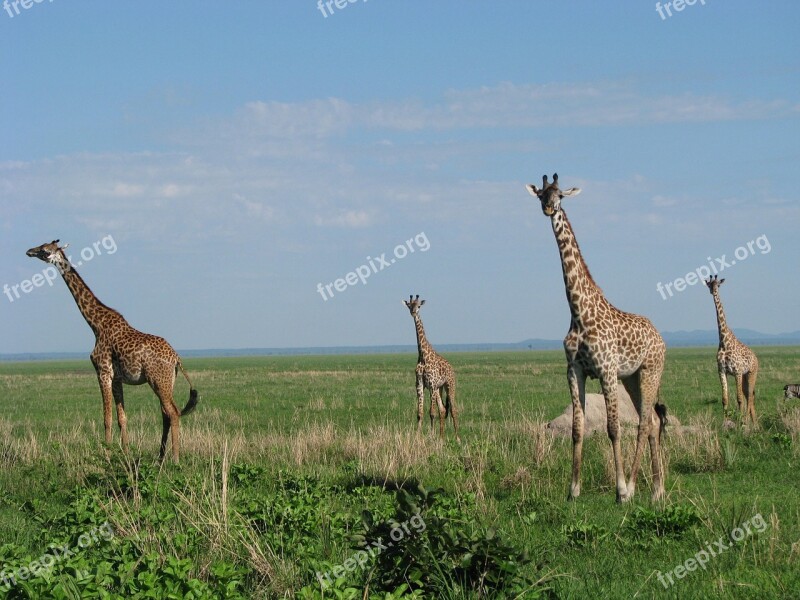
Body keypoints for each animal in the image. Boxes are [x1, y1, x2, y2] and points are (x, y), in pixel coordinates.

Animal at [27, 240, 199, 464]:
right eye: (40, 246)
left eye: (45, 251)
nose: (29, 252)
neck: (96, 324)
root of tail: (177, 359)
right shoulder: (117, 378)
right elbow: (122, 418)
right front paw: (125, 454)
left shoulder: (103, 371)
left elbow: (106, 418)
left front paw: (106, 455)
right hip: (167, 382)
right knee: (166, 413)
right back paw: (160, 457)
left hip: (157, 380)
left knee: (174, 412)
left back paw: (175, 459)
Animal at [404, 296, 460, 440]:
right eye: (409, 306)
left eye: (419, 306)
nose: (413, 313)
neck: (423, 355)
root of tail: (452, 369)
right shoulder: (420, 385)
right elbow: (420, 413)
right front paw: (418, 436)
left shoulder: (432, 385)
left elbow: (431, 412)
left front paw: (431, 435)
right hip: (440, 389)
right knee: (443, 409)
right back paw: (441, 437)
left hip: (449, 386)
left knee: (453, 409)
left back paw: (457, 438)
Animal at [524, 173, 668, 502]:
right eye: (541, 195)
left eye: (560, 195)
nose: (548, 209)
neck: (578, 311)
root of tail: (660, 336)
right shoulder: (574, 370)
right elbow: (577, 428)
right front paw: (573, 490)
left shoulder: (606, 370)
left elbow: (613, 428)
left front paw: (621, 490)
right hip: (631, 377)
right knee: (653, 421)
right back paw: (657, 490)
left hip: (650, 371)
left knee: (644, 423)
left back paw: (635, 486)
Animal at [704, 276, 760, 422]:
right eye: (709, 285)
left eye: (718, 284)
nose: (713, 291)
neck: (724, 341)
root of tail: (756, 358)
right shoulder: (722, 371)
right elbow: (725, 399)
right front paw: (726, 422)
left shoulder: (737, 371)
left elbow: (739, 399)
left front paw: (740, 422)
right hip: (745, 376)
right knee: (748, 396)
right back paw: (754, 422)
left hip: (751, 373)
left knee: (749, 396)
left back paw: (748, 420)